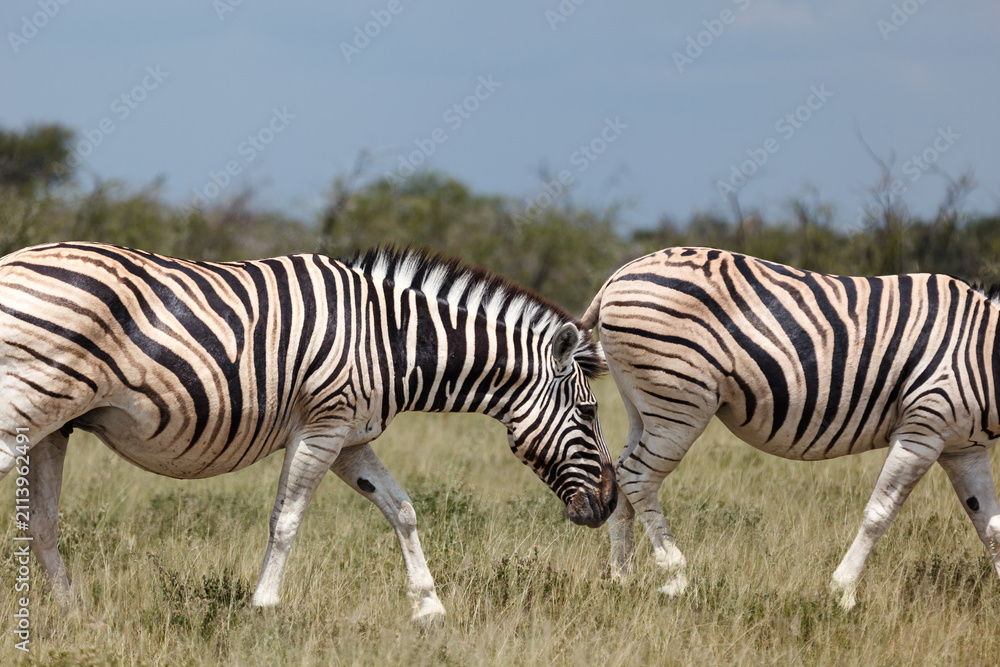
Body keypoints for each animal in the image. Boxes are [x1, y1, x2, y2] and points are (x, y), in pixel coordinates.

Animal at [0, 241, 616, 622]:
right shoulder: (322, 426)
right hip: (22, 409)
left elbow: (402, 508)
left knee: (43, 525)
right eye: (589, 414)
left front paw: (429, 607)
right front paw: (265, 607)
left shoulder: (351, 438)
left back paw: (76, 615)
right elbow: (287, 519)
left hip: (54, 425)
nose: (610, 504)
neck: (390, 340)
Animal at [583, 246, 1000, 609]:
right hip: (679, 403)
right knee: (638, 476)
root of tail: (618, 276)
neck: (983, 354)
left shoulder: (964, 448)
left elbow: (990, 525)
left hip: (642, 405)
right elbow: (880, 512)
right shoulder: (923, 428)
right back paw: (675, 577)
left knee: (620, 473)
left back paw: (621, 577)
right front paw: (843, 592)